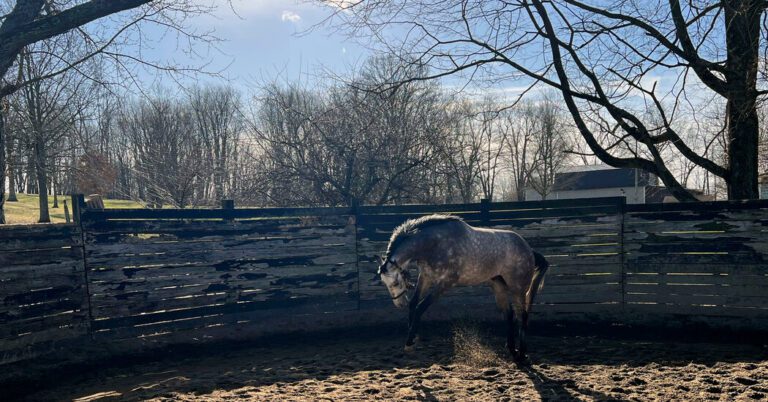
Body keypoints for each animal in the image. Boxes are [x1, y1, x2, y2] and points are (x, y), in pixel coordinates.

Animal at [376, 215, 544, 360]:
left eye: (395, 283)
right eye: (385, 283)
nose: (399, 304)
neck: (435, 245)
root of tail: (529, 249)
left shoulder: (444, 283)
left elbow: (420, 308)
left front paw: (410, 343)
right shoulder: (425, 277)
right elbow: (413, 304)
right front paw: (413, 337)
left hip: (518, 288)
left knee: (522, 315)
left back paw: (522, 353)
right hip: (499, 286)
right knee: (509, 315)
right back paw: (511, 349)